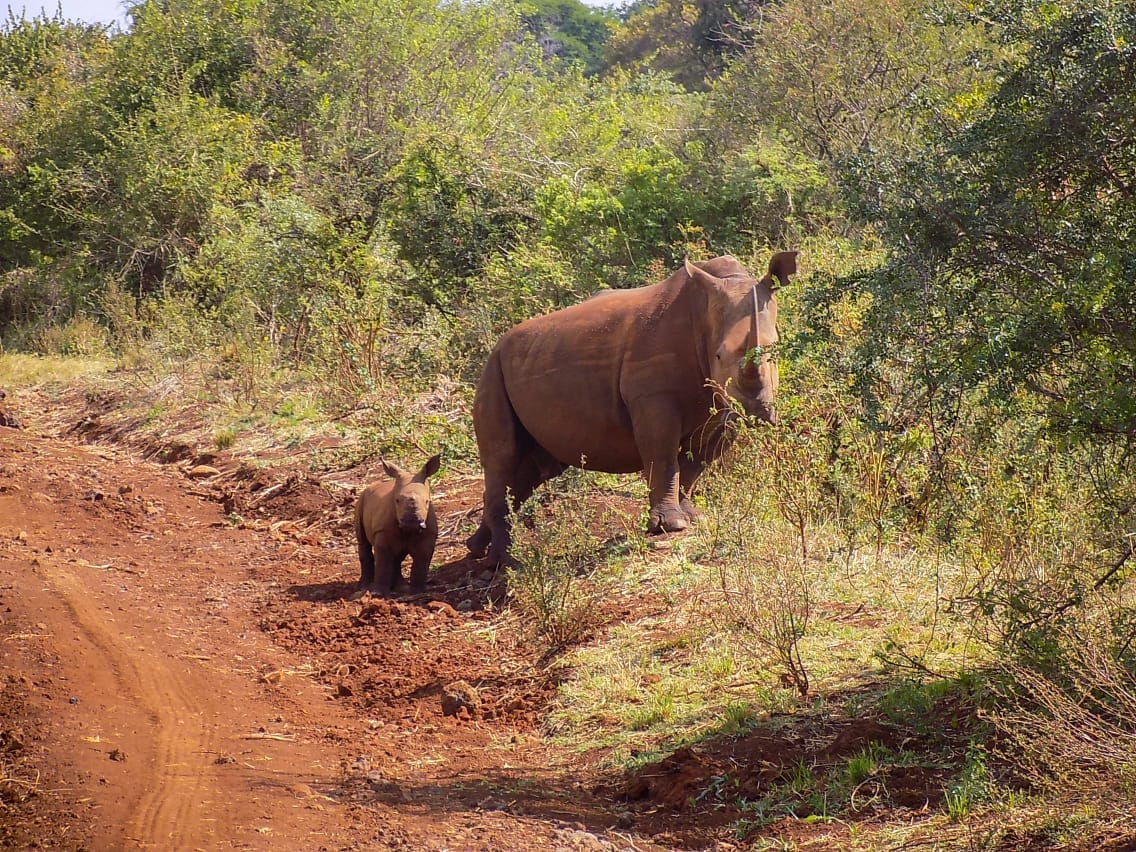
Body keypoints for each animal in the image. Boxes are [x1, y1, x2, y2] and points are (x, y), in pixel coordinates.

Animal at [354, 454, 441, 596]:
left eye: (427, 501)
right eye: (397, 501)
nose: (412, 523)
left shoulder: (429, 534)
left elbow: (422, 561)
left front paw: (417, 591)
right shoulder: (382, 532)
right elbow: (383, 561)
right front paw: (378, 593)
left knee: (398, 557)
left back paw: (401, 587)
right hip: (361, 500)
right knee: (363, 542)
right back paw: (364, 587)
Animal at [467, 252, 798, 565]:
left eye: (775, 352)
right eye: (718, 356)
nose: (756, 412)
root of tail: (497, 346)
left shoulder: (720, 406)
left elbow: (696, 463)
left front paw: (692, 515)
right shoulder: (653, 397)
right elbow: (662, 457)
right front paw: (671, 525)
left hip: (529, 361)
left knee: (534, 468)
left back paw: (477, 548)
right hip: (493, 371)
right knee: (503, 458)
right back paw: (507, 562)